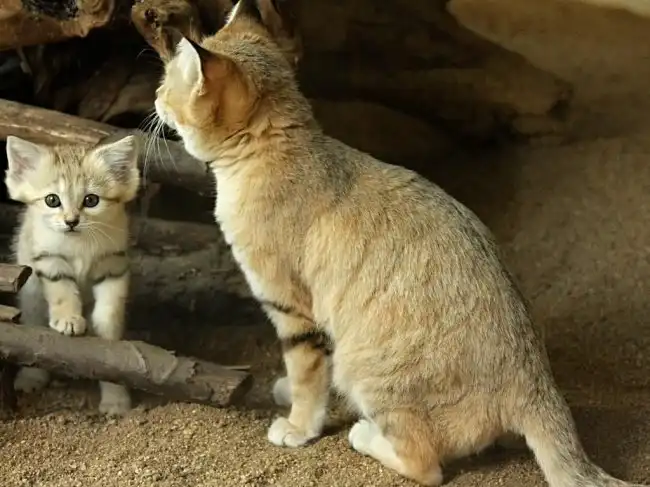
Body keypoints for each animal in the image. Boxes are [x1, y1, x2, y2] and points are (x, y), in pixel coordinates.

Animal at [4, 134, 141, 416]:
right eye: (52, 200)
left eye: (91, 200)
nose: (71, 221)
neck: (80, 243)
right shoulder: (49, 259)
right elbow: (62, 291)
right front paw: (68, 319)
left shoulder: (114, 263)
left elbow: (111, 308)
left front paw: (104, 325)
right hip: (32, 297)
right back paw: (31, 377)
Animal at [151, 1, 646, 485]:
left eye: (167, 83)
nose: (155, 100)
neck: (280, 147)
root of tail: (538, 384)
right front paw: (290, 396)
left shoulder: (293, 307)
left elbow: (307, 373)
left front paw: (298, 425)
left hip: (367, 369)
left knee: (426, 465)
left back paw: (365, 436)